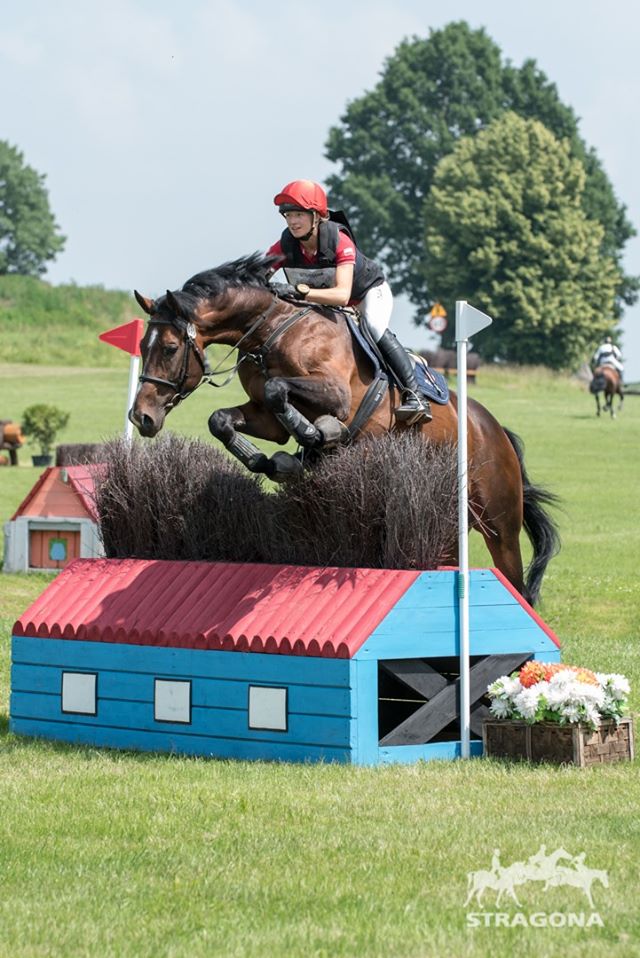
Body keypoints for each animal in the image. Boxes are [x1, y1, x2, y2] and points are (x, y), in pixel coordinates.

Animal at [130, 251, 560, 604]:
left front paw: (316, 436)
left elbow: (279, 391)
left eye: (169, 348)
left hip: (500, 525)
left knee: (516, 581)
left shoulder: (333, 394)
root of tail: (496, 430)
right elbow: (224, 418)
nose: (141, 417)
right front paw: (274, 462)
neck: (272, 330)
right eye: (142, 347)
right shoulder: (265, 418)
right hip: (447, 523)